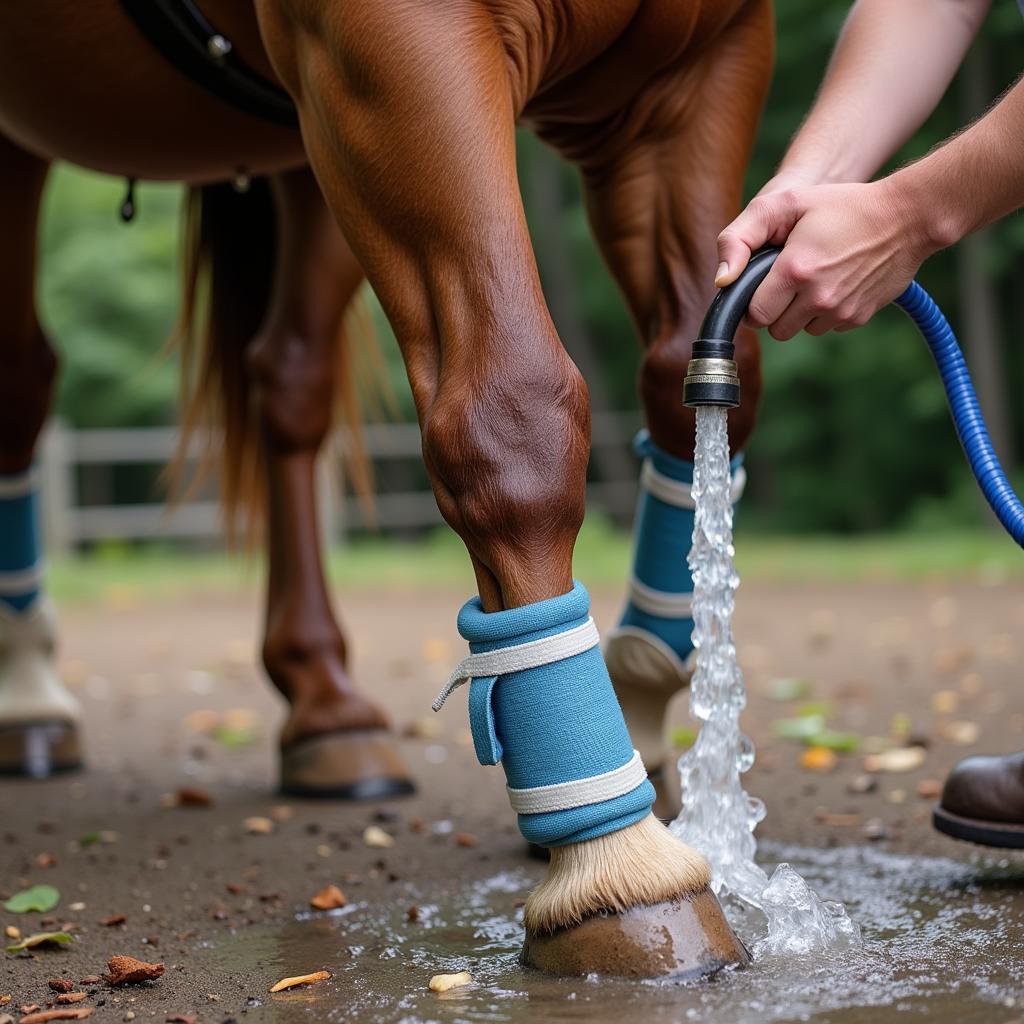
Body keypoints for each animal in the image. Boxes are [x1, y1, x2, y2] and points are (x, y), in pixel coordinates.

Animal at [0, 0, 770, 811]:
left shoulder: (697, 70)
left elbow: (690, 376)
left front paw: (647, 711)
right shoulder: (399, 43)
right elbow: (514, 412)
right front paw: (608, 827)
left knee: (289, 381)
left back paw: (324, 705)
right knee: (19, 383)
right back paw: (29, 697)